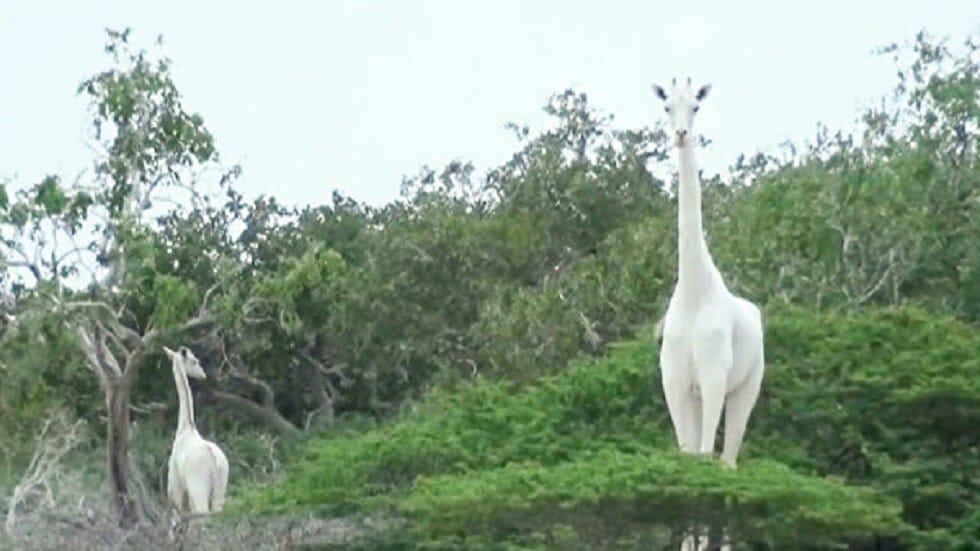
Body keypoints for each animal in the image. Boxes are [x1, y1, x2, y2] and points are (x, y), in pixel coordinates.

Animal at [167, 348, 234, 516]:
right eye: (194, 361)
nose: (203, 375)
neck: (185, 429)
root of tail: (215, 462)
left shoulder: (175, 487)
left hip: (198, 487)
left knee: (203, 513)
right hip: (220, 489)